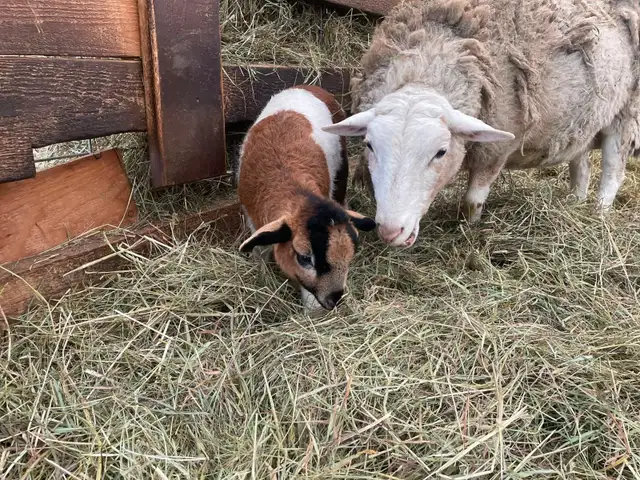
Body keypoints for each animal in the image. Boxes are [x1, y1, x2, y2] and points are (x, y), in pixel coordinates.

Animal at [237, 85, 376, 311]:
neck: (292, 184)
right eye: (304, 258)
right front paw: (263, 278)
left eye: (350, 256)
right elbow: (260, 251)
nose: (334, 300)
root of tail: (309, 86)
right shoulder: (253, 219)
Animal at [323, 0, 640, 248]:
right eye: (369, 146)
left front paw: (469, 227)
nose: (390, 231)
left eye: (440, 152)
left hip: (624, 114)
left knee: (612, 172)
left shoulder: (497, 148)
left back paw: (598, 214)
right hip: (584, 122)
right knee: (582, 167)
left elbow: (473, 199)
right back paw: (574, 203)